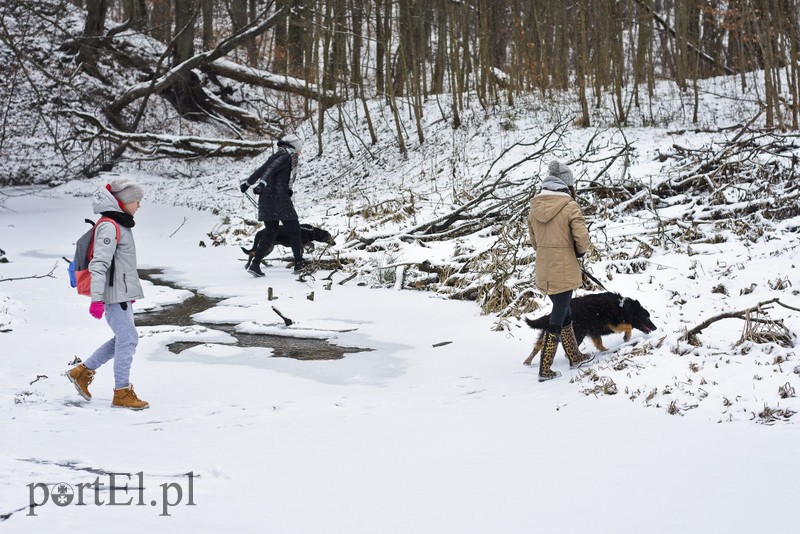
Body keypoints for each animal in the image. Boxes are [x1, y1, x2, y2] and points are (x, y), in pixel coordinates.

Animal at [524, 294, 656, 368]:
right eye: (647, 317)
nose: (655, 327)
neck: (624, 307)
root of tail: (551, 316)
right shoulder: (613, 324)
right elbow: (628, 326)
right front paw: (626, 337)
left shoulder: (595, 333)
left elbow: (600, 345)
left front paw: (607, 351)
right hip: (578, 334)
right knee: (568, 351)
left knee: (537, 347)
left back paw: (527, 362)